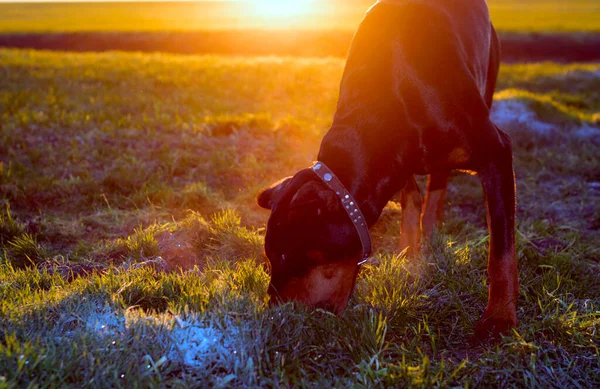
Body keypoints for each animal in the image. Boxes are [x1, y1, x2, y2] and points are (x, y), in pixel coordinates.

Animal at [256, 0, 516, 338]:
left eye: (286, 255)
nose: (273, 313)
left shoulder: (495, 152)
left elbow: (501, 249)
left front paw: (500, 318)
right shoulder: (395, 160)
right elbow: (410, 198)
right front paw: (408, 255)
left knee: (440, 177)